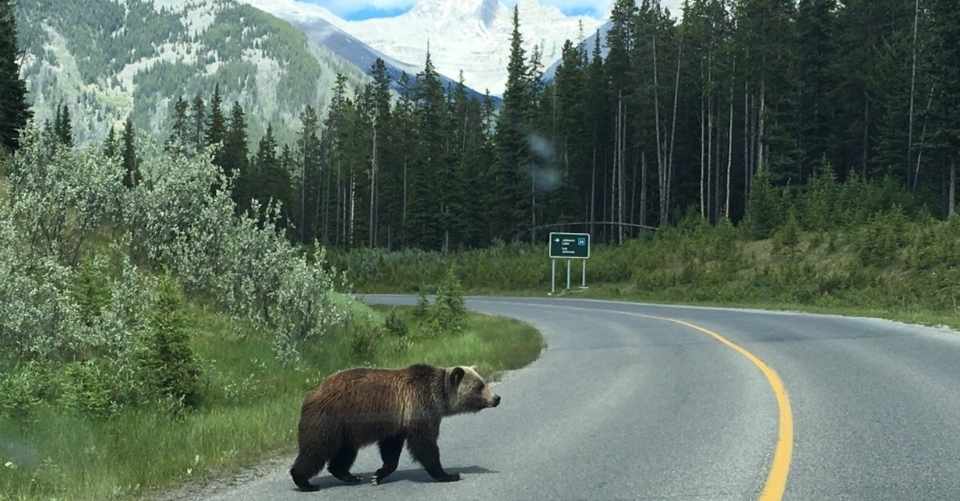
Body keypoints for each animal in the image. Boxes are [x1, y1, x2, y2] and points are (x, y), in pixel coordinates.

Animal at [288, 362, 502, 490]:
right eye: (479, 386)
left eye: (483, 382)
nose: (497, 398)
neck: (438, 396)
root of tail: (311, 393)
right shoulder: (419, 407)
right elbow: (425, 445)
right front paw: (448, 474)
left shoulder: (398, 422)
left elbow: (391, 450)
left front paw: (377, 475)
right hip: (330, 418)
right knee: (316, 449)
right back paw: (304, 482)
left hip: (346, 429)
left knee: (345, 452)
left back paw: (350, 476)